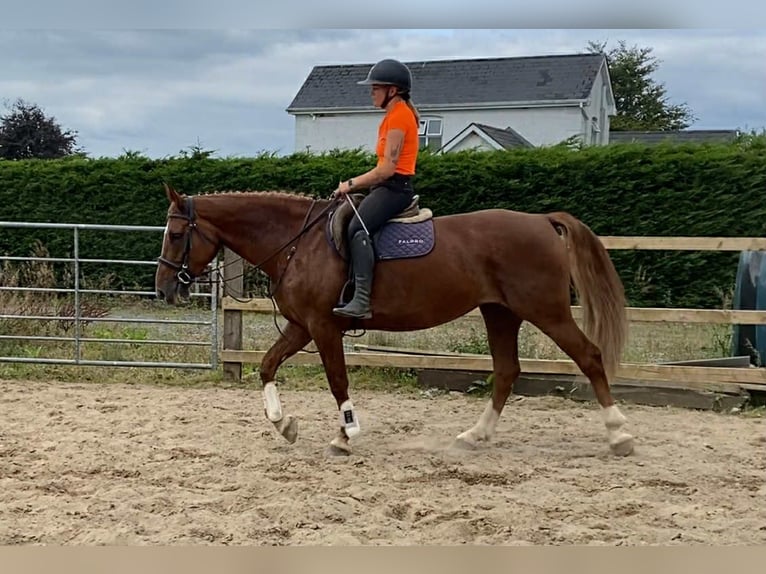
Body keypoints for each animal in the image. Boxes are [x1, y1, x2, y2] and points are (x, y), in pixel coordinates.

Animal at [155, 183, 634, 457]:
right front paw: (284, 424)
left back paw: (618, 435)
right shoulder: (301, 326)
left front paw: (346, 434)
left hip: (545, 311)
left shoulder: (323, 327)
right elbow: (268, 366)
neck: (298, 243)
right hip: (501, 313)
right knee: (506, 371)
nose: (164, 289)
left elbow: (337, 381)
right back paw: (474, 436)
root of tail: (541, 220)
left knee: (589, 357)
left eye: (176, 234)